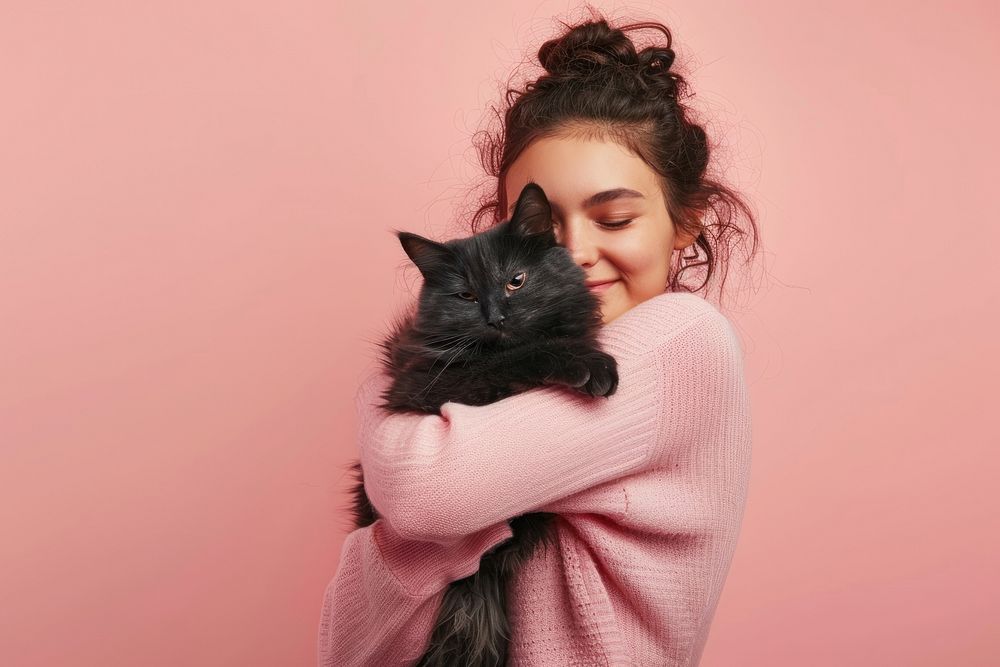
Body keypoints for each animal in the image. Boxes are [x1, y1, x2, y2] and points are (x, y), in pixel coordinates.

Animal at [348, 183, 620, 667]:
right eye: (467, 297)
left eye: (516, 281)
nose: (496, 317)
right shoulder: (424, 383)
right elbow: (516, 356)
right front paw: (587, 363)